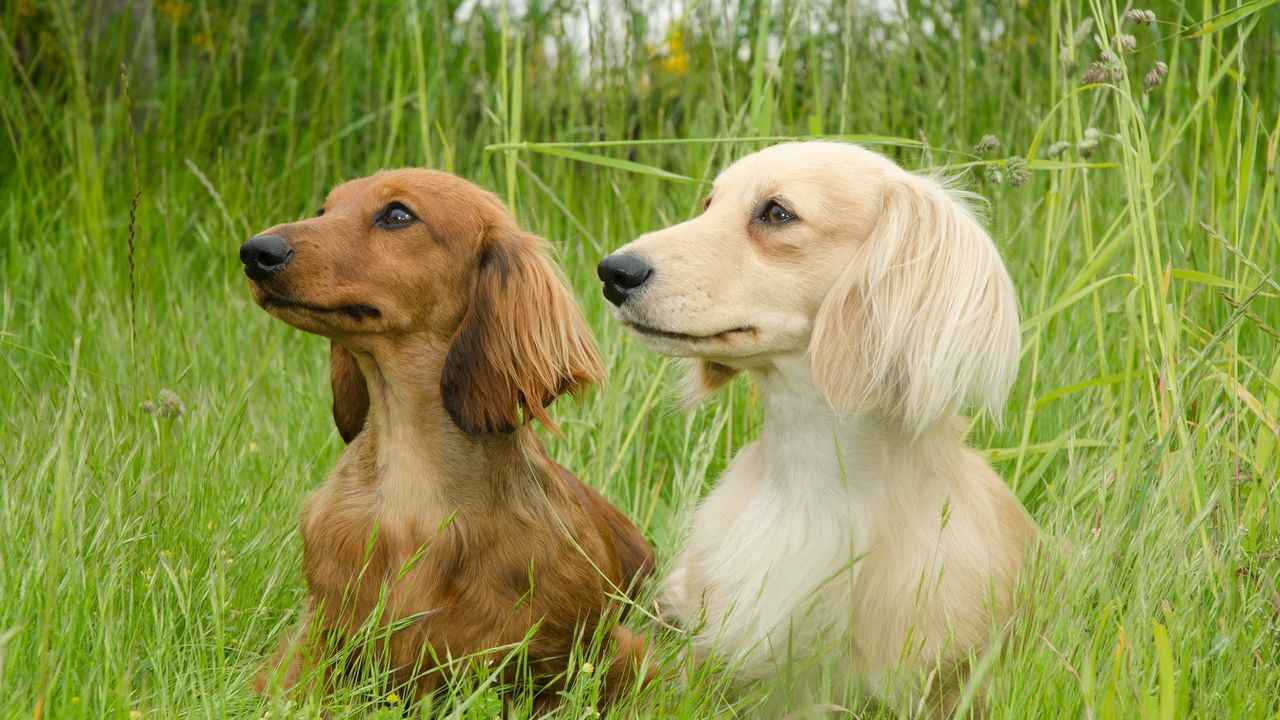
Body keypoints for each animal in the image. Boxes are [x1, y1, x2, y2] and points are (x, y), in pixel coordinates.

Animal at [240, 169, 655, 707]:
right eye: (323, 210)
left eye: (397, 214)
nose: (255, 251)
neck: (411, 497)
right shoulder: (313, 648)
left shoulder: (587, 660)